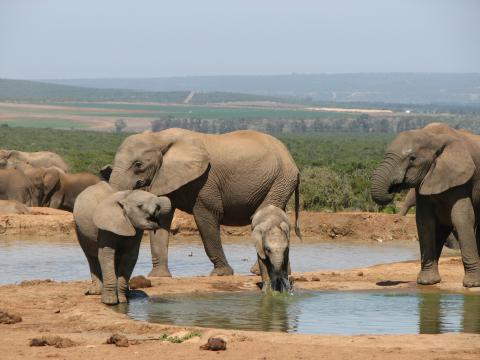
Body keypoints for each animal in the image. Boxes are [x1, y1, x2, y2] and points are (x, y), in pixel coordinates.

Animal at [110, 128, 302, 278]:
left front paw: (221, 274)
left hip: (280, 179)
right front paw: (158, 277)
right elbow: (162, 218)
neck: (159, 137)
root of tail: (291, 160)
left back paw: (256, 271)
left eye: (138, 164)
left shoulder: (205, 181)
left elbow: (207, 216)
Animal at [372, 123, 480, 286]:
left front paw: (472, 284)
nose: (392, 188)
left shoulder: (463, 179)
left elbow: (461, 219)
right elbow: (425, 222)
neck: (432, 137)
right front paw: (427, 282)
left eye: (412, 158)